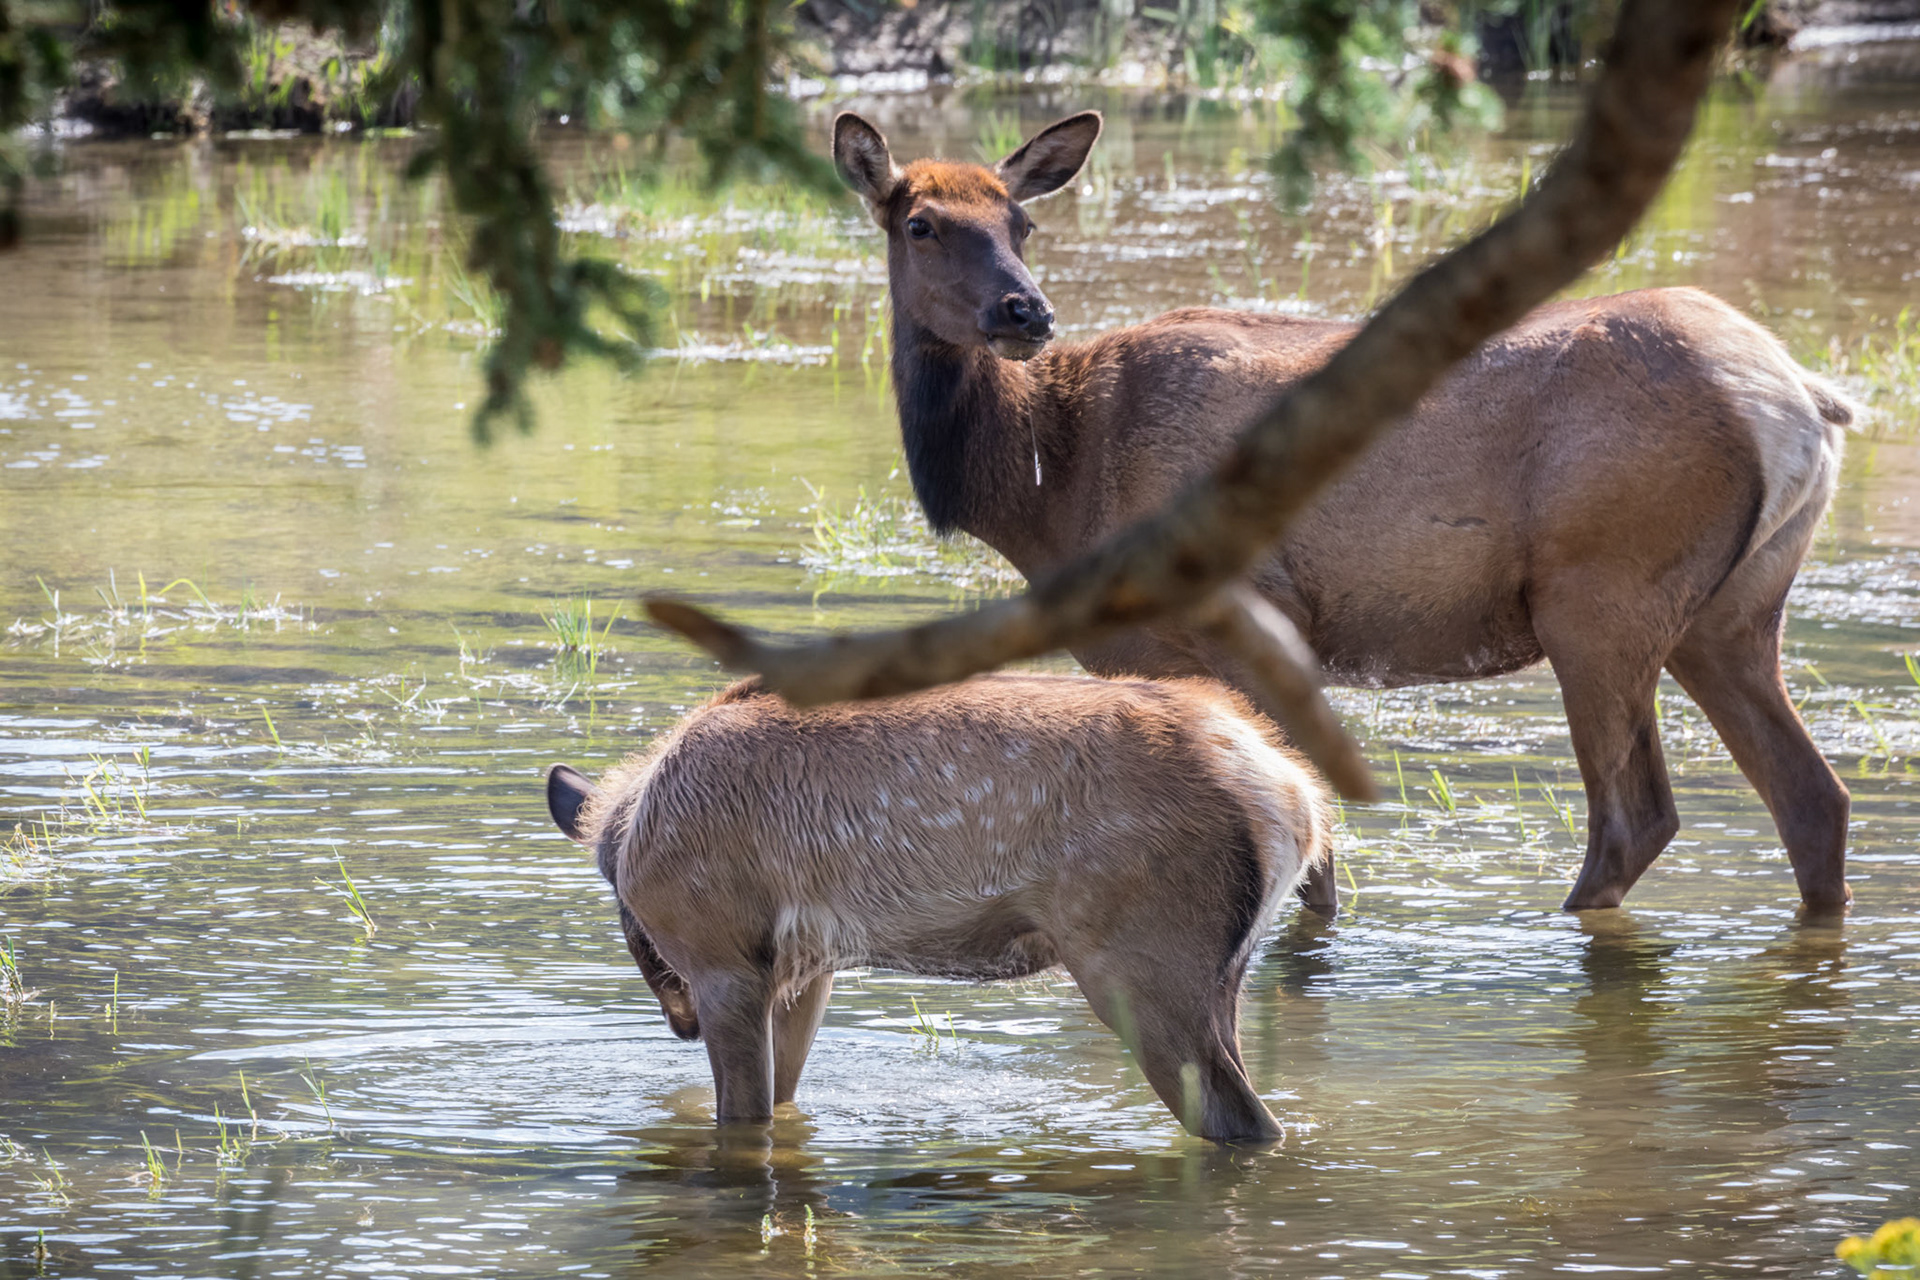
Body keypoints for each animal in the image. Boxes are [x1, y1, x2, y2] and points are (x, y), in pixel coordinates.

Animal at [545, 673, 1331, 1145]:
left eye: (637, 933)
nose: (677, 1023)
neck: (630, 835)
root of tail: (1294, 798)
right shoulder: (805, 969)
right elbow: (788, 1094)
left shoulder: (722, 959)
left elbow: (743, 1118)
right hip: (1221, 974)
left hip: (1139, 963)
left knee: (1239, 1117)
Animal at [830, 109, 1856, 917]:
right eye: (920, 223)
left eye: (1022, 221)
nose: (1026, 312)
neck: (1051, 486)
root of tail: (1799, 397)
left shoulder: (1246, 617)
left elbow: (1308, 850)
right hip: (1732, 612)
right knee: (1813, 799)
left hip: (1603, 595)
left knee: (1634, 818)